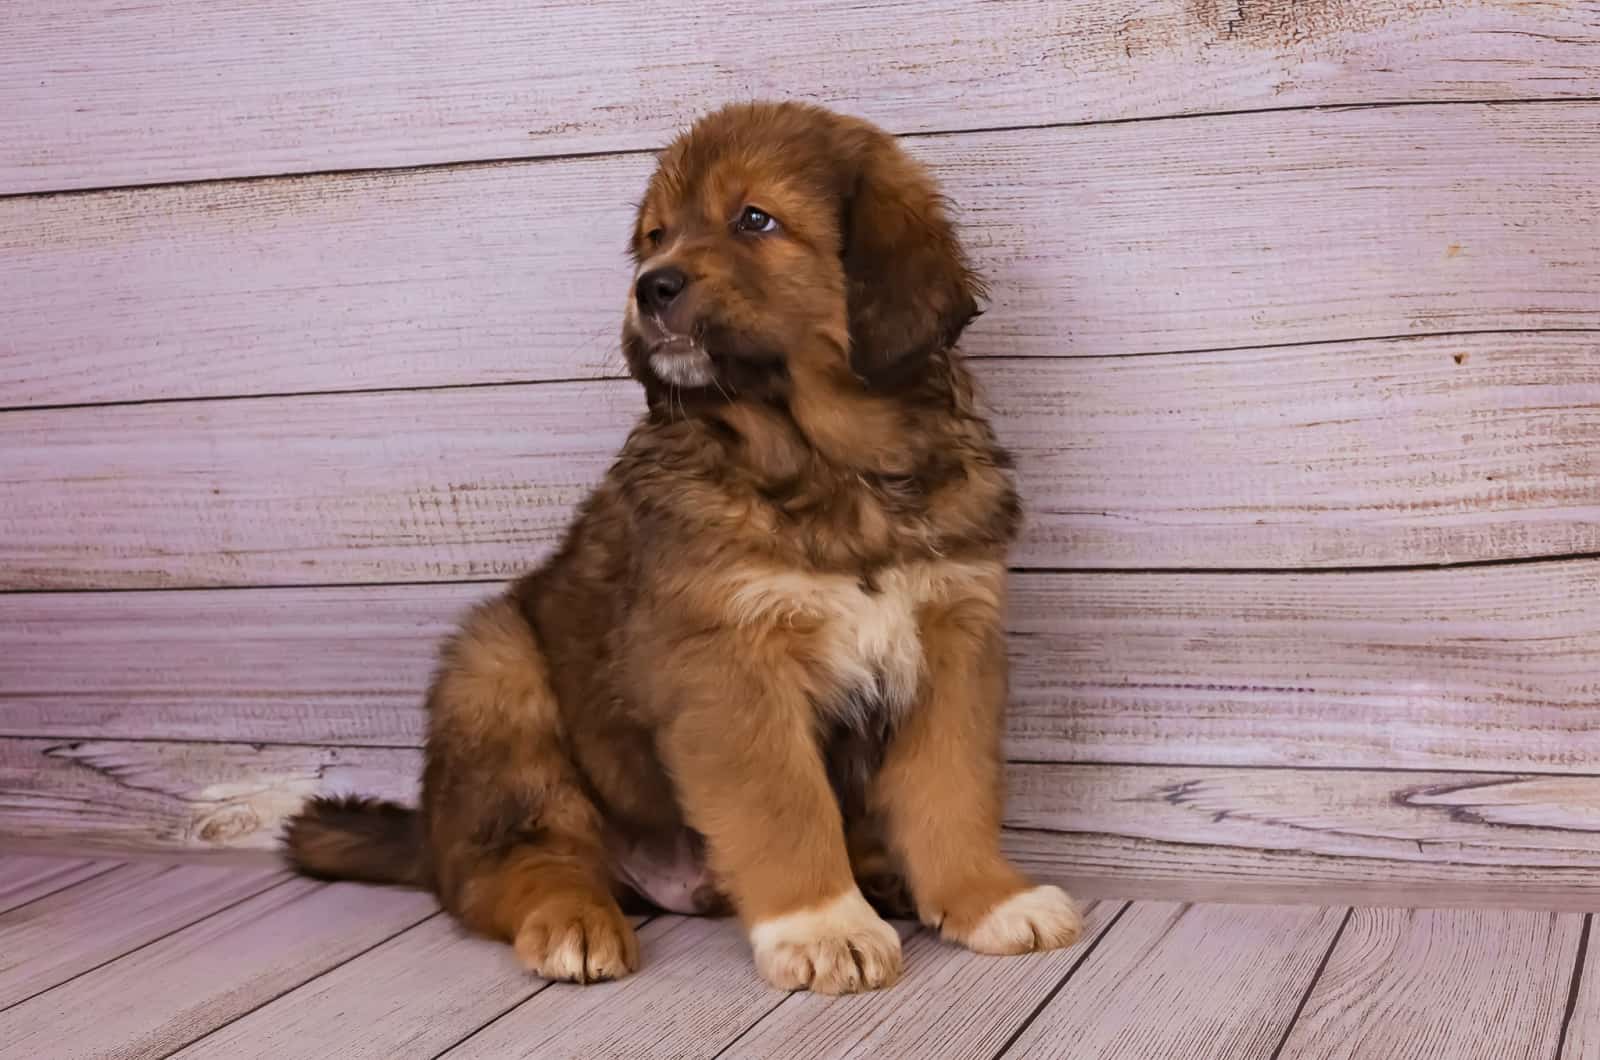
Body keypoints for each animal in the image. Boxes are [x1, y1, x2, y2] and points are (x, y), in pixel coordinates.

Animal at [289, 99, 1088, 999]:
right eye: (656, 236)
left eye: (754, 220)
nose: (651, 287)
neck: (832, 466)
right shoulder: (728, 660)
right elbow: (784, 804)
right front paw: (823, 926)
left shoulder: (955, 643)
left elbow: (953, 788)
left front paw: (989, 899)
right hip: (494, 673)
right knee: (510, 866)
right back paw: (573, 921)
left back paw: (882, 872)